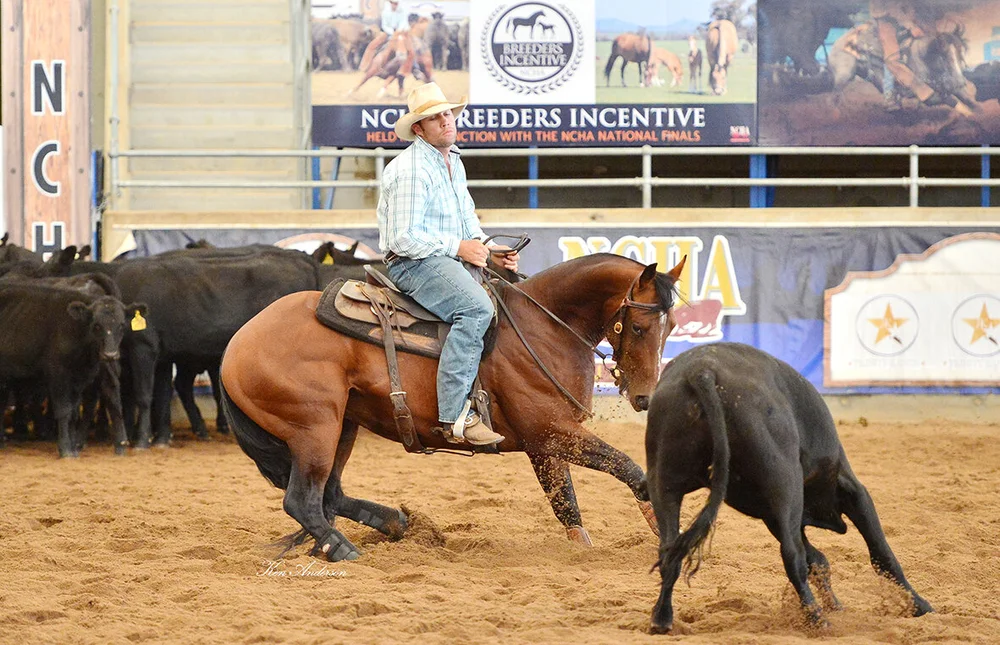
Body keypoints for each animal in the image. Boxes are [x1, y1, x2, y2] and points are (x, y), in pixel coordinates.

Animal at [219, 253, 686, 561]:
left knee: (329, 495)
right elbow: (631, 469)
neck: (544, 328)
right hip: (314, 428)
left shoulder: (547, 442)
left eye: (673, 327)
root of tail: (236, 344)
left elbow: (565, 502)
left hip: (343, 425)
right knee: (302, 501)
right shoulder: (550, 430)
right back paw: (346, 550)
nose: (645, 398)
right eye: (639, 327)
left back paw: (397, 523)